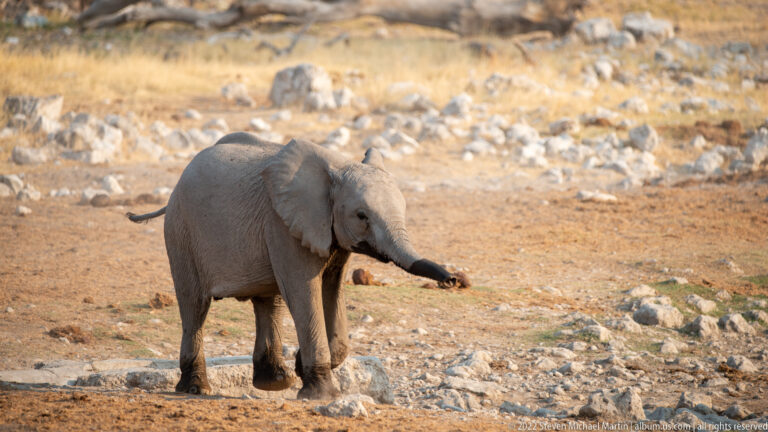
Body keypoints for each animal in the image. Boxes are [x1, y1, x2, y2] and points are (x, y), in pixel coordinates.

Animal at [127, 132, 456, 399]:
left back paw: (275, 383)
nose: (452, 279)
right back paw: (197, 389)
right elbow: (303, 291)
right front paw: (321, 394)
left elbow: (332, 288)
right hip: (180, 231)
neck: (335, 168)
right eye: (362, 216)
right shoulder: (283, 224)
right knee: (195, 305)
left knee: (268, 301)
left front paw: (301, 366)